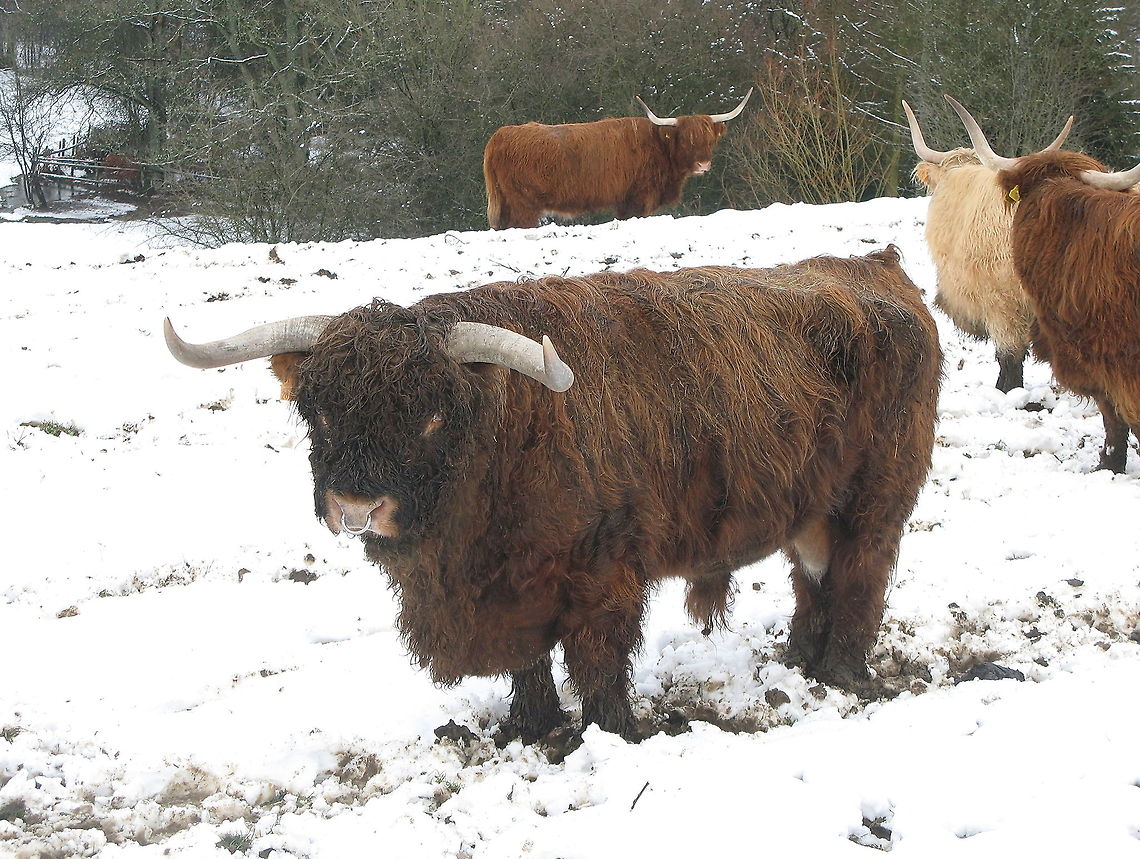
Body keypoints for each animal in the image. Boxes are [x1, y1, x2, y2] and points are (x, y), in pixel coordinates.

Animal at [165, 249, 941, 741]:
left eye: (433, 415)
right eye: (318, 410)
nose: (356, 506)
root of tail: (876, 266)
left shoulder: (604, 571)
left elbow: (599, 659)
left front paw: (609, 733)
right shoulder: (510, 586)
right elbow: (527, 660)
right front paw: (529, 727)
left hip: (877, 502)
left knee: (861, 577)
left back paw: (841, 672)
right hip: (812, 509)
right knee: (813, 575)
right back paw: (800, 658)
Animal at [482, 89, 752, 230]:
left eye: (710, 140)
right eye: (686, 140)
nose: (703, 165)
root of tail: (500, 135)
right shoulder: (637, 199)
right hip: (523, 203)